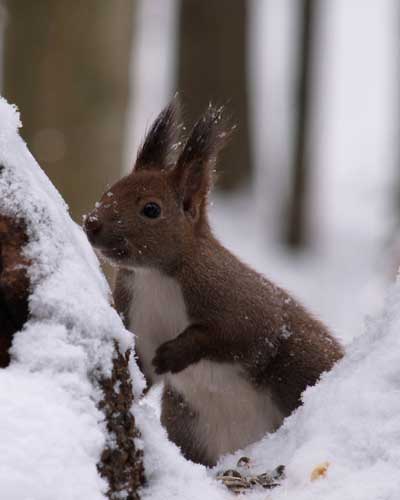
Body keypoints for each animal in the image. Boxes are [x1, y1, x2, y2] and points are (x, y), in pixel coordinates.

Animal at [83, 97, 344, 464]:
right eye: (110, 189)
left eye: (151, 209)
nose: (91, 223)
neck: (156, 278)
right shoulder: (137, 314)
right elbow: (142, 365)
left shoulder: (241, 302)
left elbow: (231, 335)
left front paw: (175, 353)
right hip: (185, 424)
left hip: (301, 362)